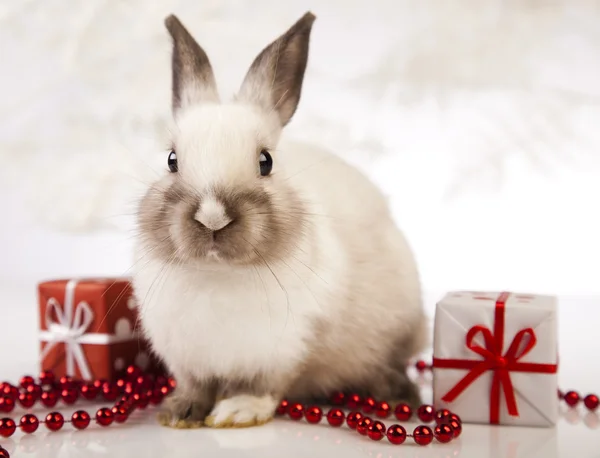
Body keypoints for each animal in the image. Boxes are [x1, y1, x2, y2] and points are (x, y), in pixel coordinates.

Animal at [134, 11, 428, 430]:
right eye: (172, 160)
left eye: (265, 161)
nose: (212, 218)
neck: (219, 274)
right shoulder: (186, 357)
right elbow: (195, 387)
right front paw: (180, 413)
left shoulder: (285, 350)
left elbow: (262, 388)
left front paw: (236, 412)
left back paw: (397, 393)